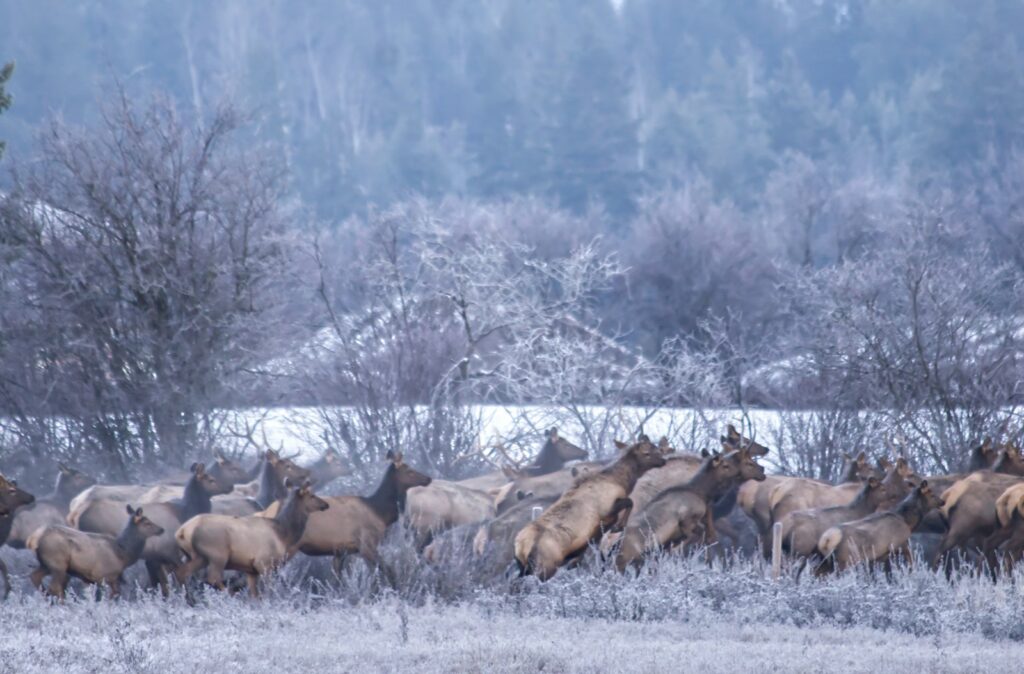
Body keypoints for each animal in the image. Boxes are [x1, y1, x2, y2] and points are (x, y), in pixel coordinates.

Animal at [27, 505, 164, 600]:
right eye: (147, 523)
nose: (161, 529)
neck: (123, 554)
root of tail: (35, 538)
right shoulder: (105, 575)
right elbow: (112, 595)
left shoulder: (92, 579)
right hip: (58, 564)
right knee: (55, 587)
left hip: (46, 564)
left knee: (35, 576)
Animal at [174, 480, 329, 597]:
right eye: (312, 495)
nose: (326, 504)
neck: (283, 535)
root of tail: (183, 531)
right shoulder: (264, 563)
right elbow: (267, 592)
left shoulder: (251, 570)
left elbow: (255, 596)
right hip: (217, 555)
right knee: (212, 579)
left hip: (195, 556)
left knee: (182, 572)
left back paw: (189, 599)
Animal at [513, 436, 667, 581]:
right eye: (646, 453)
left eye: (656, 448)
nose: (663, 460)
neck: (621, 482)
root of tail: (521, 546)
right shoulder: (607, 509)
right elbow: (630, 502)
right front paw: (619, 527)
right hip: (545, 565)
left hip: (524, 567)